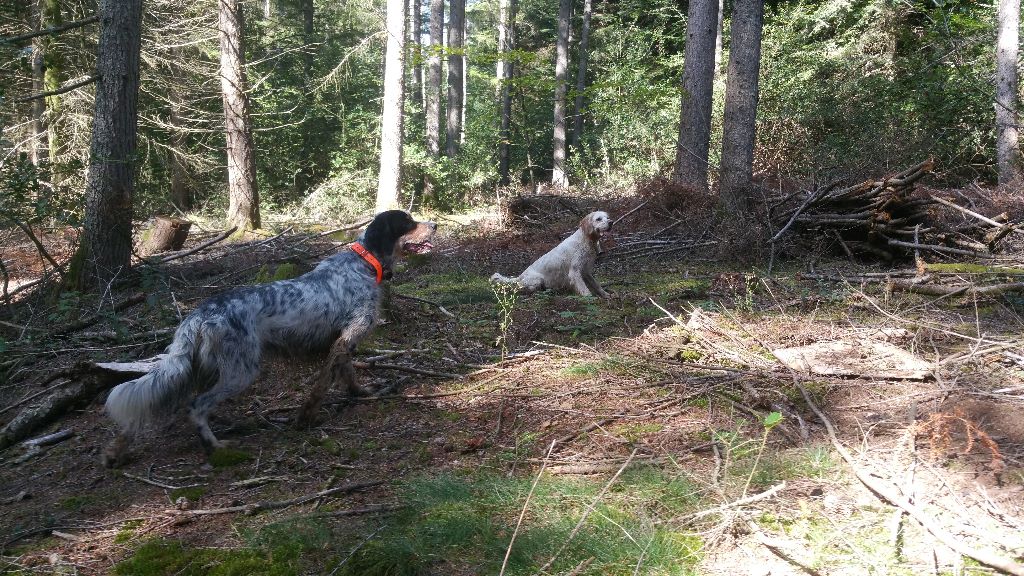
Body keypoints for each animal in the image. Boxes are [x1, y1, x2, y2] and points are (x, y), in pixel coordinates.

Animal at [104, 208, 436, 463]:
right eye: (408, 221)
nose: (434, 224)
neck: (366, 262)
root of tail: (199, 314)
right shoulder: (347, 338)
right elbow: (323, 386)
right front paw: (305, 419)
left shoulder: (342, 342)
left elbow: (348, 375)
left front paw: (360, 393)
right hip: (240, 370)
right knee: (196, 407)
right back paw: (216, 446)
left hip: (194, 369)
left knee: (147, 408)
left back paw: (115, 452)